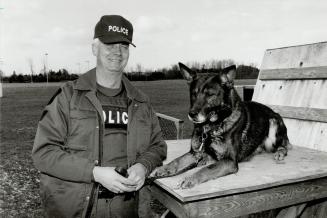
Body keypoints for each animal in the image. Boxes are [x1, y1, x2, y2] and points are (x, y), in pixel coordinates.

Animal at [150, 63, 290, 189]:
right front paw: (163, 168)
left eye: (210, 94)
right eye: (194, 94)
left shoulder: (229, 161)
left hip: (273, 124)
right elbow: (177, 160)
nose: (192, 114)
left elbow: (207, 169)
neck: (211, 127)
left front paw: (190, 178)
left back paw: (280, 153)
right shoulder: (195, 153)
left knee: (285, 146)